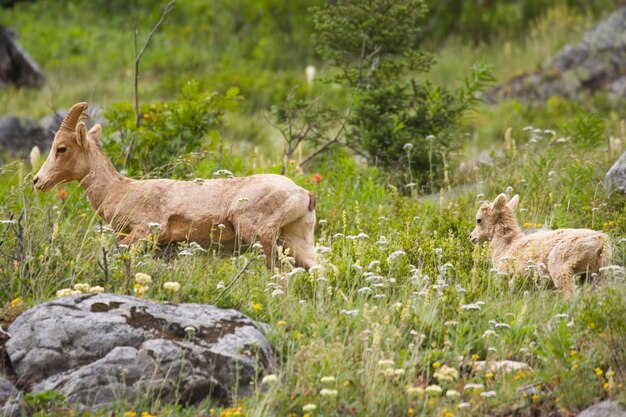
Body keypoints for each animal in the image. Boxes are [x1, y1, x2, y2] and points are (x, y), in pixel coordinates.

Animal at [34, 102, 316, 268]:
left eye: (62, 148)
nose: (38, 181)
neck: (119, 191)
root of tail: (304, 195)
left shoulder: (145, 231)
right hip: (296, 241)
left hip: (262, 238)